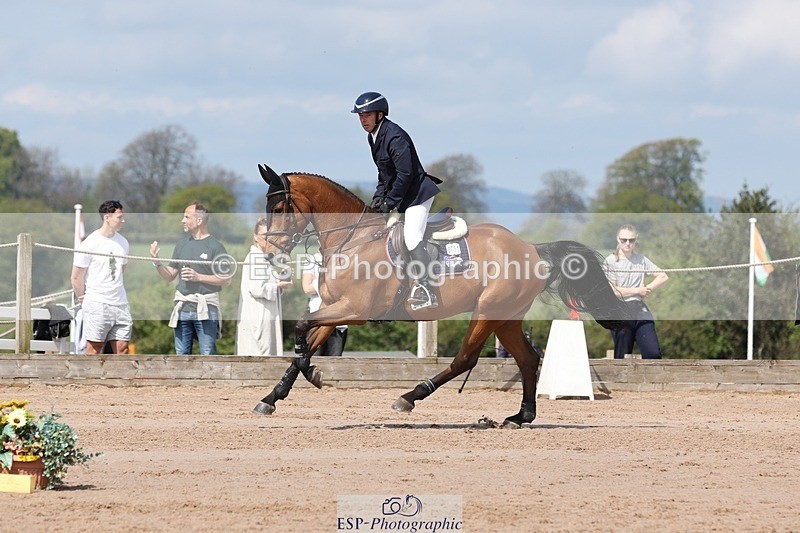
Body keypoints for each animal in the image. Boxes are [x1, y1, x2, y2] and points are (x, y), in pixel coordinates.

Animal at [253, 164, 626, 428]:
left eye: (280, 209)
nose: (268, 253)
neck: (351, 240)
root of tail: (531, 249)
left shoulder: (354, 310)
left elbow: (301, 329)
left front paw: (311, 373)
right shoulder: (335, 307)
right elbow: (306, 339)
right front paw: (273, 396)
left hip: (488, 311)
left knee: (466, 359)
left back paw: (410, 397)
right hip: (506, 317)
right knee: (528, 359)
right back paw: (521, 417)